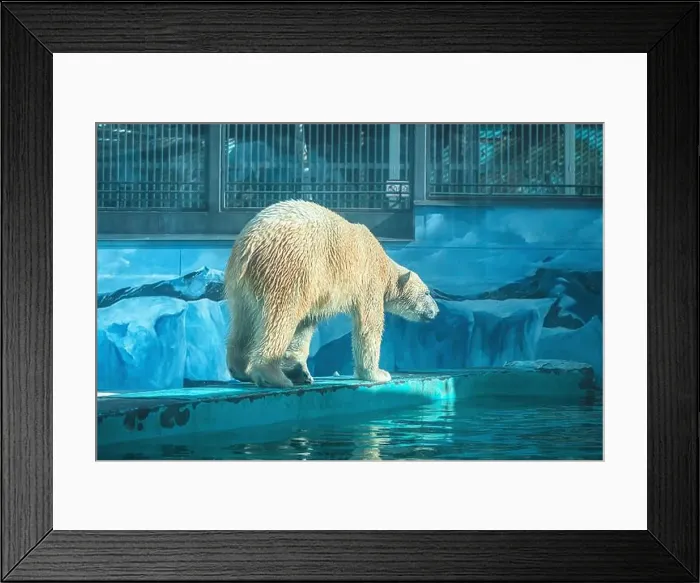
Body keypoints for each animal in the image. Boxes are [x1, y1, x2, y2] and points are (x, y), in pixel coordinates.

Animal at [224, 199, 439, 389]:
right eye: (428, 293)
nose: (436, 311)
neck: (384, 265)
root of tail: (252, 241)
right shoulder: (368, 281)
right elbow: (369, 326)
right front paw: (377, 373)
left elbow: (305, 325)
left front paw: (298, 371)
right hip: (289, 267)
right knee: (281, 317)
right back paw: (273, 376)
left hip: (241, 282)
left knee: (244, 320)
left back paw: (240, 369)